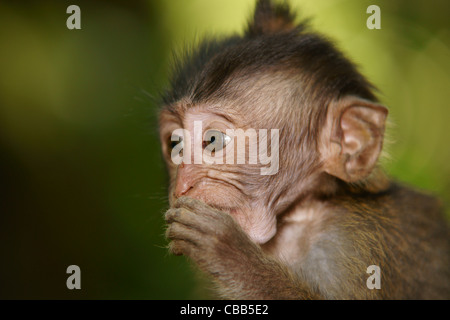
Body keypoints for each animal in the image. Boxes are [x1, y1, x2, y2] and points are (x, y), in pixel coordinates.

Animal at [158, 0, 450, 300]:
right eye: (175, 144)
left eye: (213, 140)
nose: (182, 186)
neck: (299, 217)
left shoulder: (356, 247)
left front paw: (231, 254)